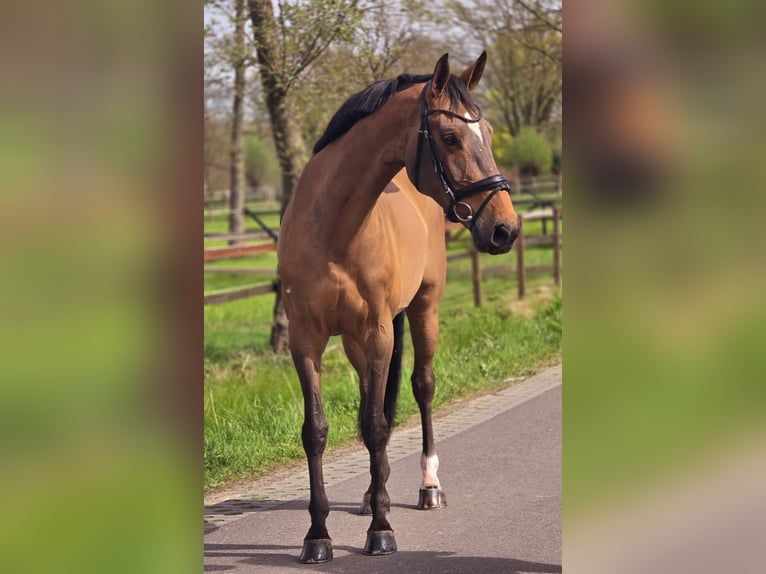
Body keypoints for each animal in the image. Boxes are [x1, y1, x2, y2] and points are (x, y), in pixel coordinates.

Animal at [277, 52, 521, 563]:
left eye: (488, 133)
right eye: (450, 137)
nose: (505, 229)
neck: (332, 227)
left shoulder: (378, 332)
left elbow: (375, 425)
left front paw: (381, 530)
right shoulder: (306, 339)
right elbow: (318, 429)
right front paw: (317, 535)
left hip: (422, 310)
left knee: (422, 387)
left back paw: (427, 487)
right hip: (357, 341)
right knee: (375, 398)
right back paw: (374, 492)